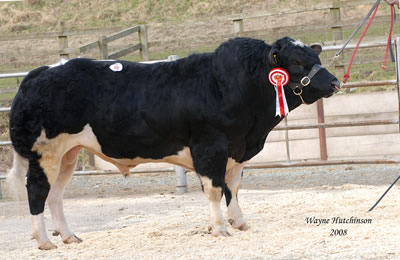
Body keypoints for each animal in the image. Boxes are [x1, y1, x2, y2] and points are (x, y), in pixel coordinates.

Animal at [7, 37, 340, 250]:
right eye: (296, 62)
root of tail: (42, 72)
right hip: (44, 153)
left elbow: (233, 188)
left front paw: (239, 222)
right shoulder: (210, 147)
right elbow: (214, 190)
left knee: (56, 195)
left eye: (316, 58)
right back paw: (44, 241)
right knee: (37, 192)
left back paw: (68, 236)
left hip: (68, 154)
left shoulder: (236, 150)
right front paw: (219, 228)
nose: (335, 82)